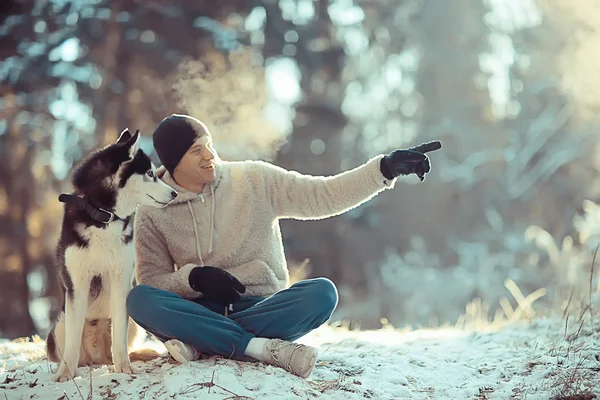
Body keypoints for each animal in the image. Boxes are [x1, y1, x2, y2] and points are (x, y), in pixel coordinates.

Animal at [45, 128, 177, 382]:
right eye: (150, 173)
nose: (174, 193)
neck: (104, 217)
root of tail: (97, 356)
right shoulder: (77, 284)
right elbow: (73, 342)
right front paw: (65, 374)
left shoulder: (121, 279)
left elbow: (119, 336)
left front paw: (124, 367)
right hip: (59, 326)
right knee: (75, 351)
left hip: (133, 322)